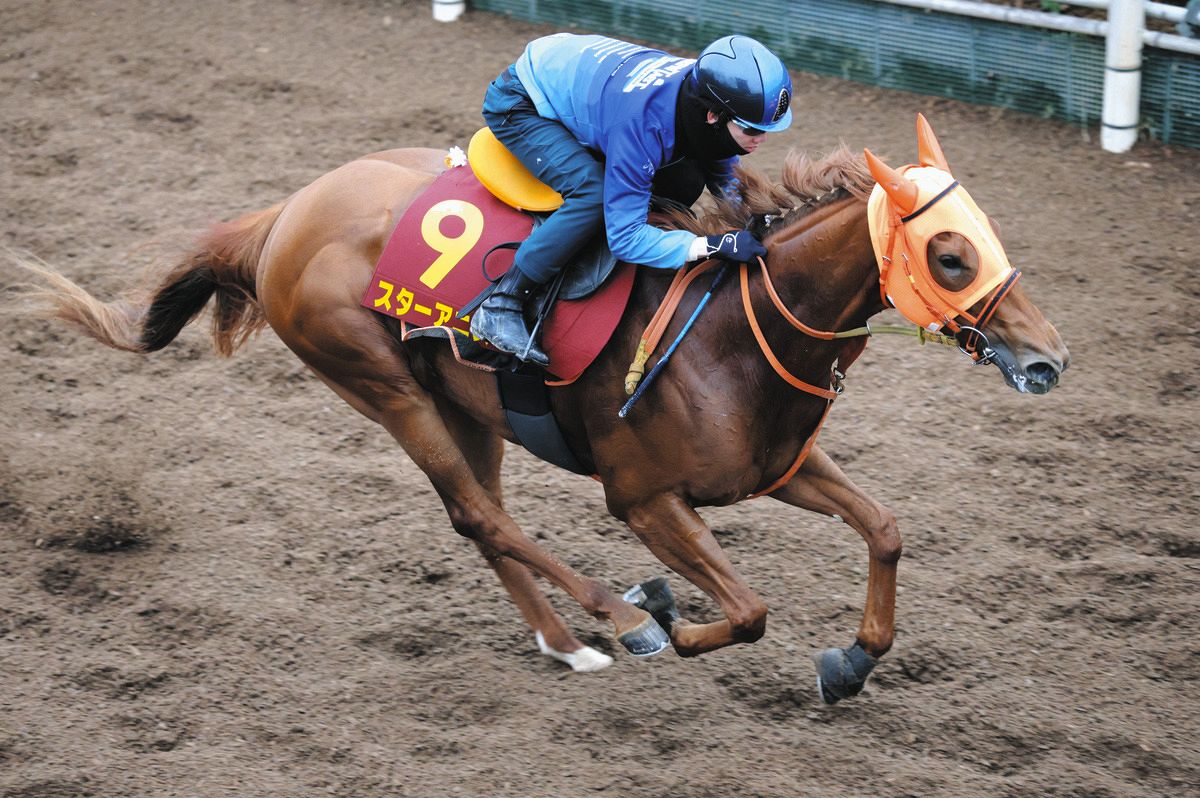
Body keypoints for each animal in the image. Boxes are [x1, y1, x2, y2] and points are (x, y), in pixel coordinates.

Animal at [19, 115, 1068, 703]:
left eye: (989, 236)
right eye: (949, 256)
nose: (1047, 360)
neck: (734, 331)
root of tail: (285, 214)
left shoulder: (779, 464)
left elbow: (885, 528)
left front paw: (850, 662)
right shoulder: (641, 498)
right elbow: (749, 608)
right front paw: (671, 618)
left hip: (464, 405)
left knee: (480, 518)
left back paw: (567, 646)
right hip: (382, 386)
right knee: (482, 515)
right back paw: (622, 617)